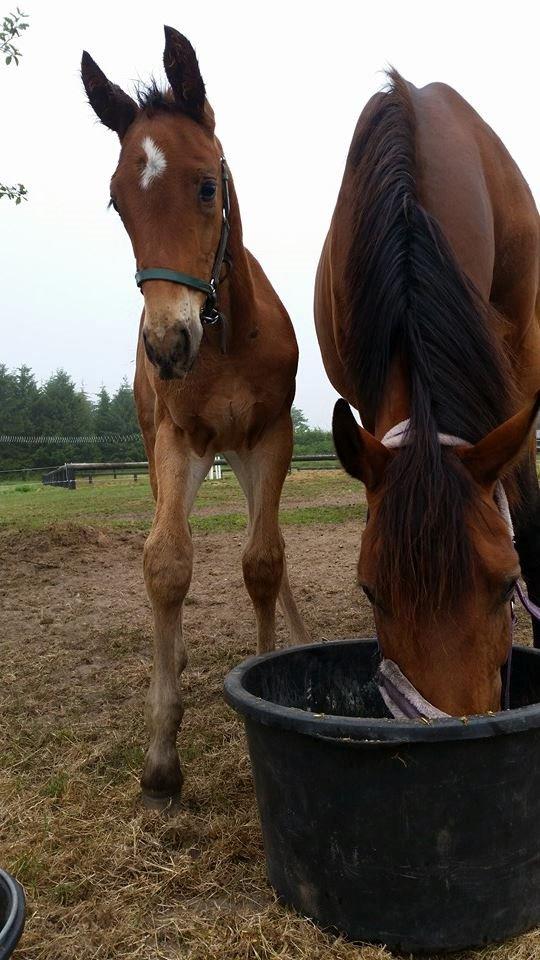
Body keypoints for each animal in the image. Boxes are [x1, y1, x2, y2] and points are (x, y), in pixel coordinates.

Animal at [80, 26, 308, 808]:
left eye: (208, 186)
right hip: (169, 447)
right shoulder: (180, 440)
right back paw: (172, 652)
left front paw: (276, 678)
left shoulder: (269, 438)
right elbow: (166, 563)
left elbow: (264, 560)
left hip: (236, 453)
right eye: (116, 203)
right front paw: (161, 759)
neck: (227, 336)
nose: (166, 345)